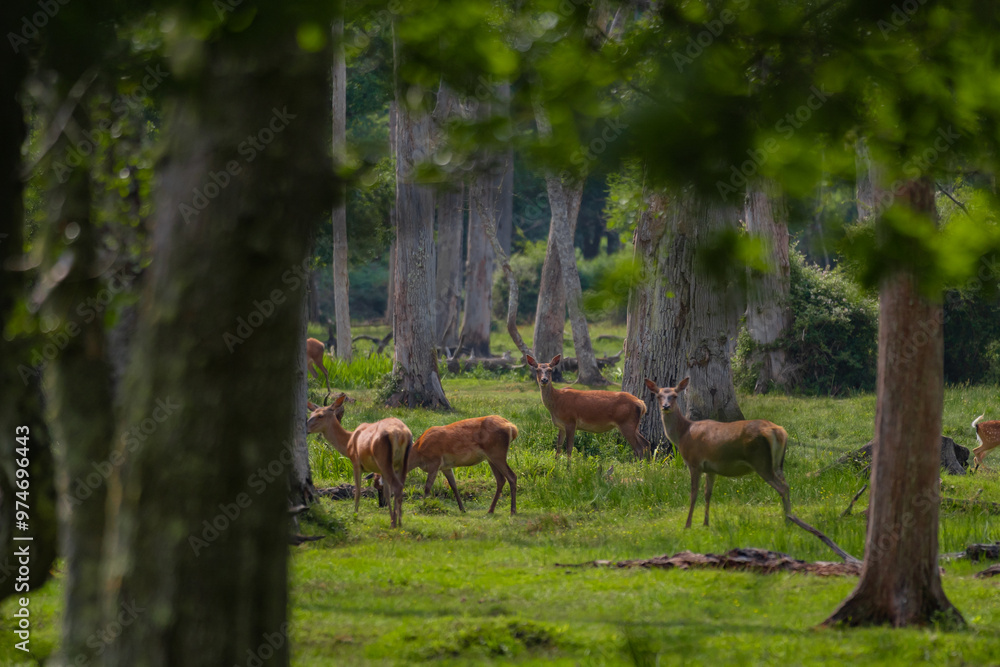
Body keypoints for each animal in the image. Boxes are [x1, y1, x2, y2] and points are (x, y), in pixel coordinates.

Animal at [306, 394, 412, 528]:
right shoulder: (380, 471)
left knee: (397, 486)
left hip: (383, 459)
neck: (348, 443)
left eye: (320, 415)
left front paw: (355, 515)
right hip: (402, 462)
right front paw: (391, 517)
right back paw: (398, 521)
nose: (305, 428)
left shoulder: (356, 462)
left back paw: (397, 524)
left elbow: (357, 491)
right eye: (311, 414)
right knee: (400, 486)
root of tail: (401, 435)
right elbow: (387, 492)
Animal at [644, 378, 791, 528]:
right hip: (777, 463)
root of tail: (778, 431)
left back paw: (788, 521)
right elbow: (708, 493)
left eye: (674, 396)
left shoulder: (694, 462)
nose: (666, 406)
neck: (682, 434)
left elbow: (693, 494)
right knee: (787, 485)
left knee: (783, 488)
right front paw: (706, 523)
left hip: (761, 460)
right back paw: (790, 519)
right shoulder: (710, 468)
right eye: (658, 396)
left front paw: (688, 524)